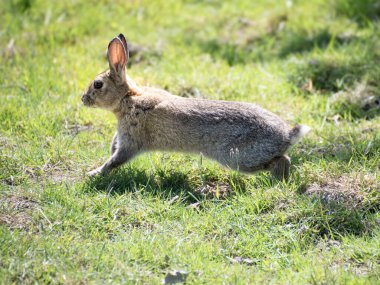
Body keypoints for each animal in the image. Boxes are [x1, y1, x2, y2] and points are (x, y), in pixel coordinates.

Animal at [81, 33, 310, 180]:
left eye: (98, 84)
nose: (83, 99)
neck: (128, 98)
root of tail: (286, 136)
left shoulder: (131, 141)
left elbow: (116, 159)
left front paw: (94, 173)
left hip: (240, 157)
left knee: (282, 160)